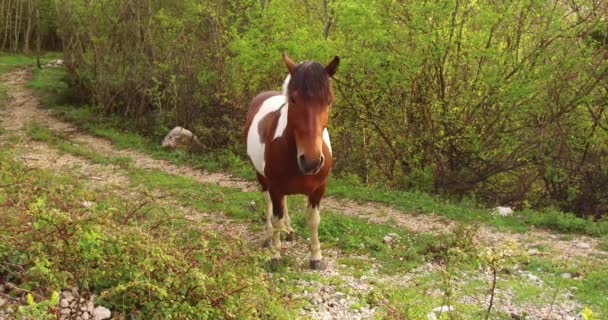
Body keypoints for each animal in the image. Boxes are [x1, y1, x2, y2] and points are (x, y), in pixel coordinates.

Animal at [242, 53, 338, 268]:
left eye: (328, 101)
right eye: (293, 100)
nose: (311, 161)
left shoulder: (319, 189)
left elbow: (313, 220)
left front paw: (316, 257)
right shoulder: (275, 186)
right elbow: (276, 216)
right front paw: (275, 256)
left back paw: (289, 231)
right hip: (262, 178)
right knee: (269, 203)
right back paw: (269, 236)